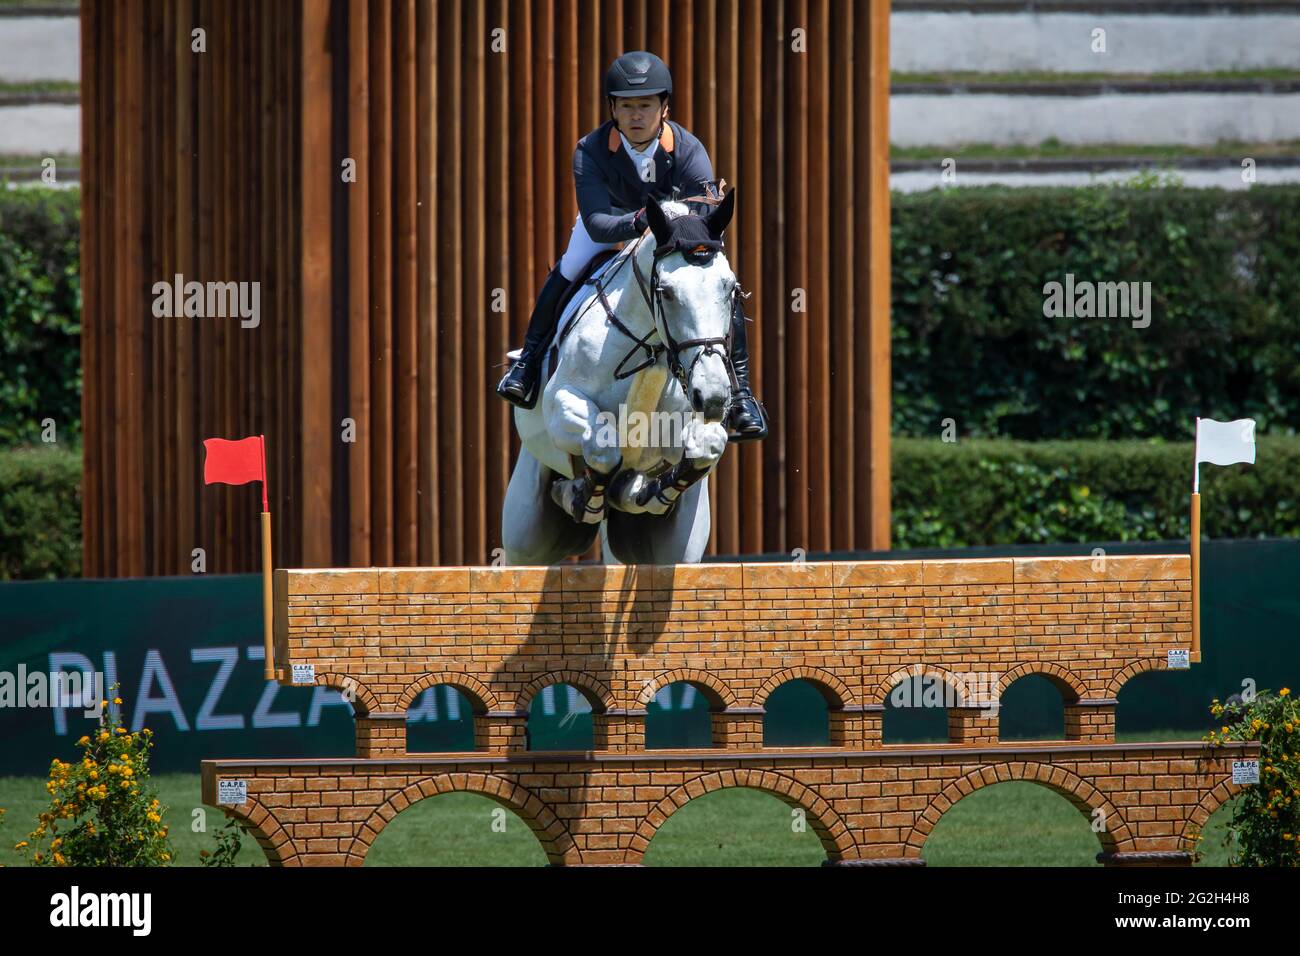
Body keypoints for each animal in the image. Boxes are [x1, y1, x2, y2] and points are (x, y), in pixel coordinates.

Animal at [501, 195, 743, 567]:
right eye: (666, 292)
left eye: (730, 288)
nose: (714, 397)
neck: (654, 350)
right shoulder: (562, 403)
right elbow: (603, 446)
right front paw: (580, 496)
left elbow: (707, 446)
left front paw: (650, 492)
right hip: (525, 535)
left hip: (679, 550)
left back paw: (630, 491)